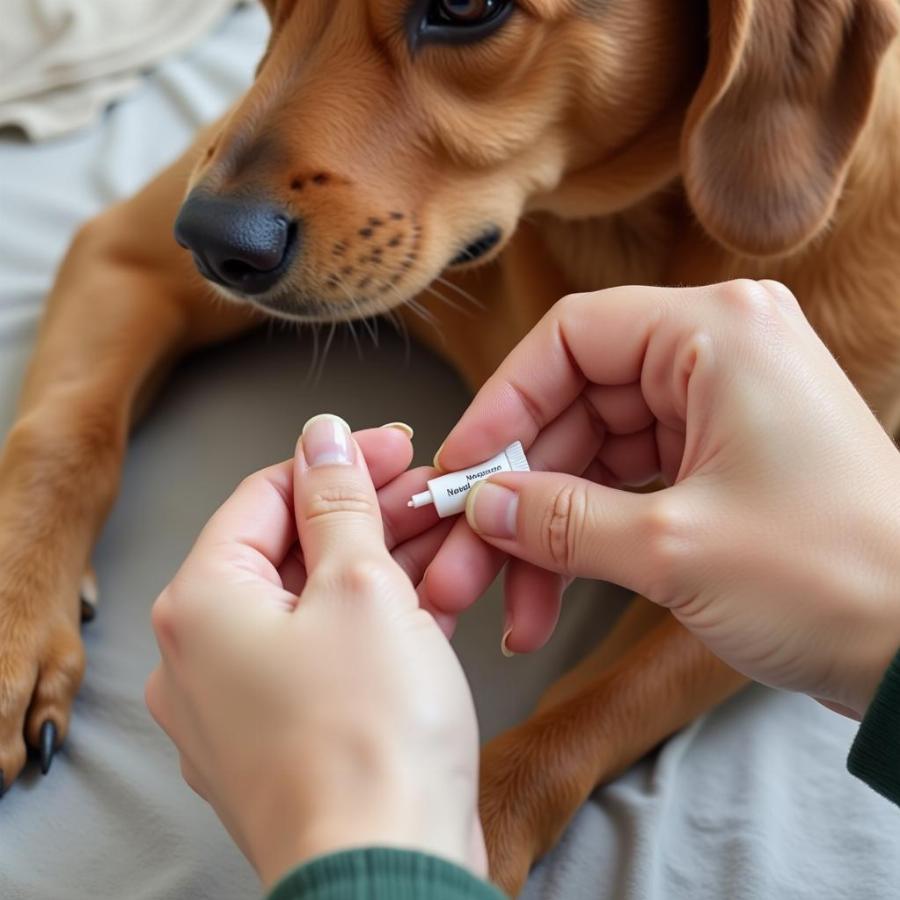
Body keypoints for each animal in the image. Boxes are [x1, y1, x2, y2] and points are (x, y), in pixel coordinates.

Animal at [1, 1, 900, 892]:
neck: (612, 234)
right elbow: (63, 433)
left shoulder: (774, 556)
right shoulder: (127, 251)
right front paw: (17, 625)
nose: (212, 241)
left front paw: (482, 827)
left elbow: (592, 706)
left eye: (468, 8)